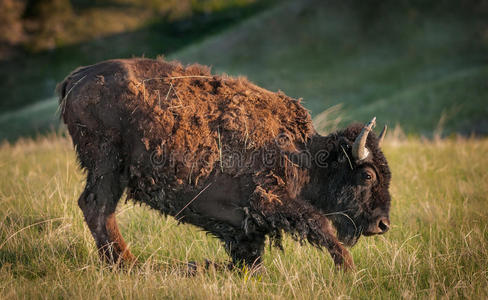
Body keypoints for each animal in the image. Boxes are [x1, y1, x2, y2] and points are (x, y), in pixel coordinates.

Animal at [57, 57, 392, 270]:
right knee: (97, 207)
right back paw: (127, 264)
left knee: (99, 210)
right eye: (367, 176)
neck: (304, 152)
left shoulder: (245, 230)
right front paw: (349, 271)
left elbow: (249, 260)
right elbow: (320, 226)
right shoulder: (269, 200)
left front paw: (201, 266)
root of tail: (76, 77)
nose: (383, 224)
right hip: (107, 165)